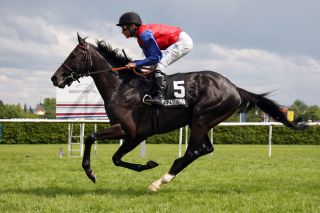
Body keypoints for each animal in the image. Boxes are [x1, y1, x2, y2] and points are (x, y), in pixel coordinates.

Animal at [51, 34, 306, 191]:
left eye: (73, 55)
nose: (55, 78)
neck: (121, 86)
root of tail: (235, 88)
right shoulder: (134, 134)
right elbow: (111, 154)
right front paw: (145, 165)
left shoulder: (131, 131)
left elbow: (97, 142)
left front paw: (92, 172)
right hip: (200, 121)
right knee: (205, 149)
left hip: (203, 118)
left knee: (193, 151)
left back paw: (159, 181)